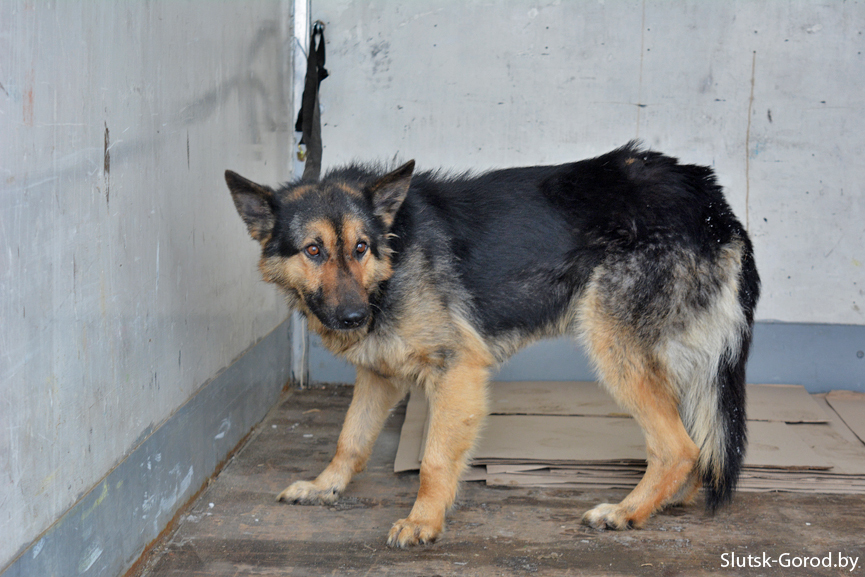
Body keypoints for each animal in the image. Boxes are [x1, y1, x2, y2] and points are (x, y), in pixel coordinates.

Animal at [226, 142, 760, 548]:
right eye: (313, 250)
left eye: (360, 248)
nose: (356, 318)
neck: (394, 250)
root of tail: (709, 200)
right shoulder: (380, 375)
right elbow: (350, 440)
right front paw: (325, 487)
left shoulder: (457, 370)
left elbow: (434, 460)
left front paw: (423, 521)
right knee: (694, 442)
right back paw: (666, 501)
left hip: (615, 348)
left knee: (678, 447)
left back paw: (627, 511)